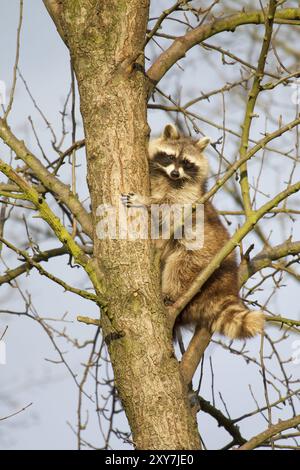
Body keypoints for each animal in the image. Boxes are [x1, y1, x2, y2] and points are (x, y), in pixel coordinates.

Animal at [120, 123, 264, 340]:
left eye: (187, 163)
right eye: (170, 157)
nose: (175, 173)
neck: (168, 179)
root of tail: (227, 284)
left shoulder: (188, 197)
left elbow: (169, 209)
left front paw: (145, 201)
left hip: (201, 255)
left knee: (179, 268)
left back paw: (170, 294)